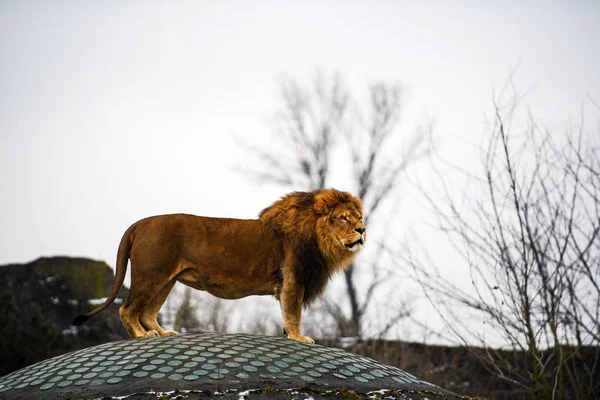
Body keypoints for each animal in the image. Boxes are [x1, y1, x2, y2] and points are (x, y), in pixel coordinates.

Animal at [75, 189, 366, 342]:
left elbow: (287, 314)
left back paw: (164, 333)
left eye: (359, 217)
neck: (319, 239)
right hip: (151, 276)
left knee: (147, 312)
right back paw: (142, 336)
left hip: (166, 280)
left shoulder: (290, 283)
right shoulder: (293, 280)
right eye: (343, 218)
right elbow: (293, 314)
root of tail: (139, 223)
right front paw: (299, 338)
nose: (363, 230)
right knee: (127, 309)